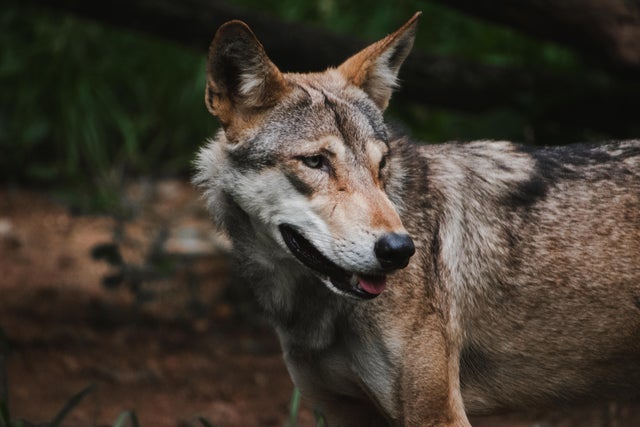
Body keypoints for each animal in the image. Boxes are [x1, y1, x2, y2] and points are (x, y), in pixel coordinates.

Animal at [194, 12, 640, 427]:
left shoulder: (438, 414)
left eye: (381, 165)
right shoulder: (340, 412)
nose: (400, 250)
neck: (317, 311)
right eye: (316, 162)